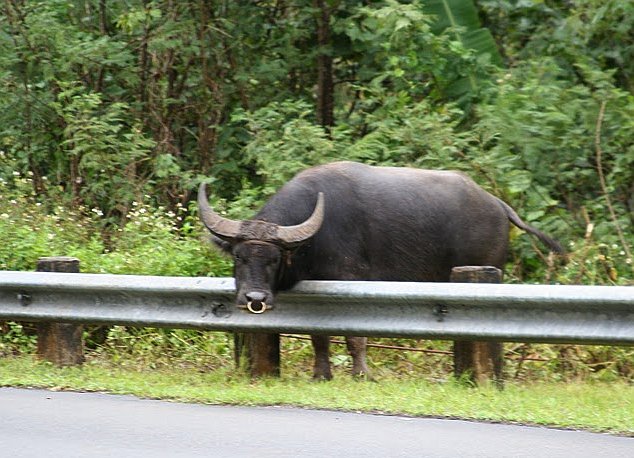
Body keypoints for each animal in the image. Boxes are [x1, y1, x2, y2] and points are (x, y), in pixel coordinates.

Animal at [196, 161, 556, 380]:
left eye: (273, 258)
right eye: (239, 256)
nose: (254, 298)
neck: (314, 238)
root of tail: (497, 204)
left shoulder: (354, 284)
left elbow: (355, 336)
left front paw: (361, 375)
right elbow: (318, 336)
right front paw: (322, 374)